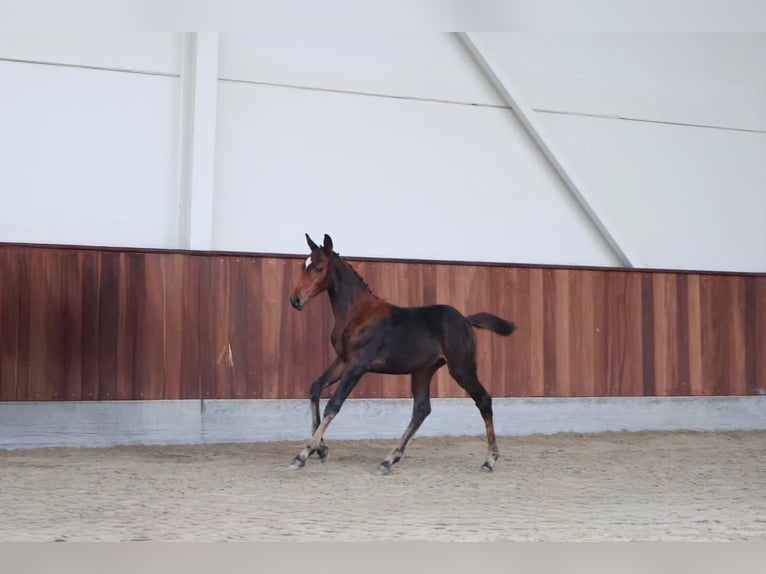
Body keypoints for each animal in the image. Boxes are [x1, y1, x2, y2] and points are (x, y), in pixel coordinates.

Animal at [288, 233, 516, 474]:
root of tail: (466, 320)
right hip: (423, 371)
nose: (295, 300)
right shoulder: (343, 361)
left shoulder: (357, 365)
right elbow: (315, 387)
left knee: (483, 400)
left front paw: (304, 454)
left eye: (319, 268)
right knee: (421, 409)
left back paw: (490, 460)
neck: (356, 314)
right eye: (304, 266)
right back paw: (390, 459)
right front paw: (321, 449)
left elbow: (334, 404)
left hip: (462, 368)